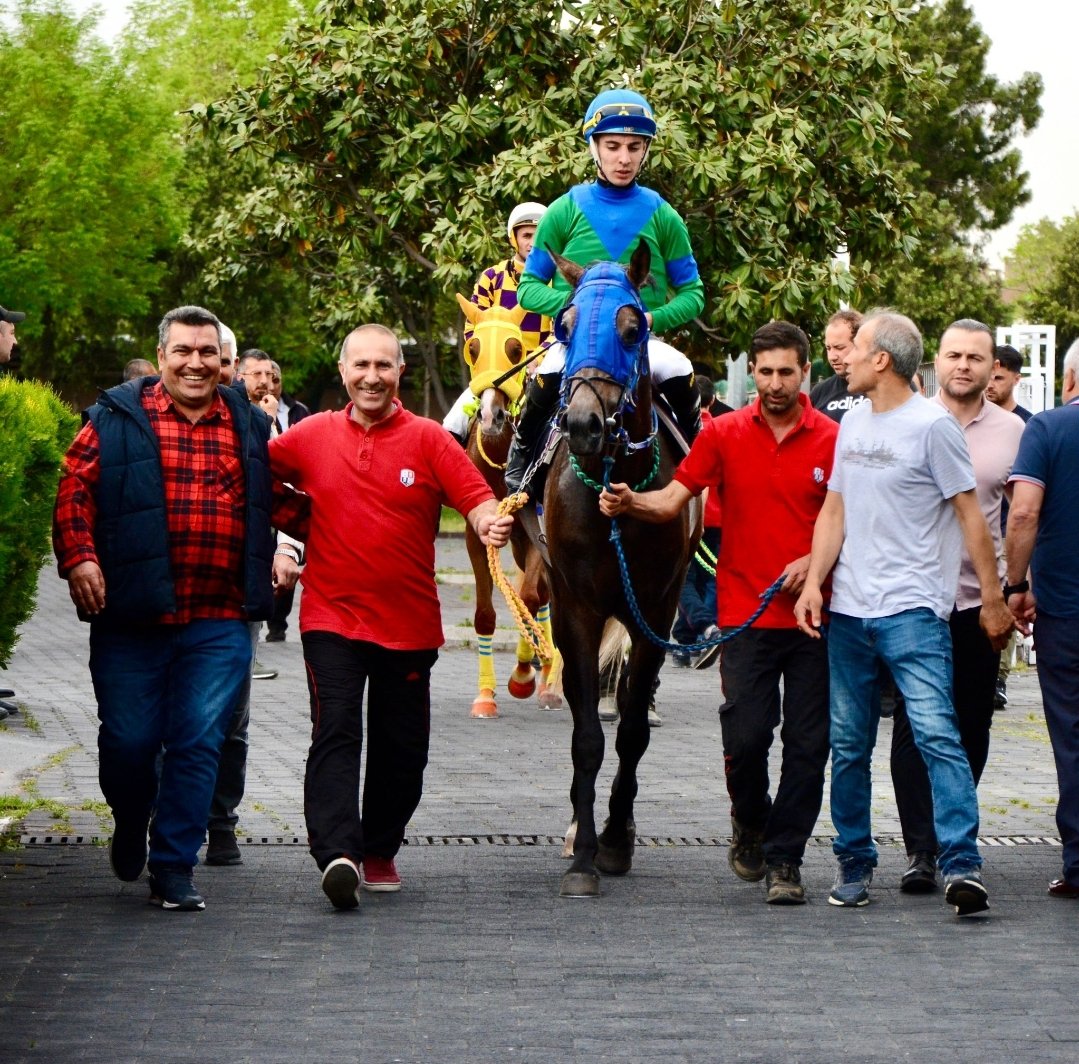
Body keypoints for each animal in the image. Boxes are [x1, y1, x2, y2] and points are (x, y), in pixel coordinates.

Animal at [453, 293, 561, 716]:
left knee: (542, 597)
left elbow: (529, 598)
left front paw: (523, 675)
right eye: (473, 347)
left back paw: (547, 680)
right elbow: (485, 615)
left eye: (516, 349)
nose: (490, 415)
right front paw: (486, 696)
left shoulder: (537, 531)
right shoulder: (476, 533)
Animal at [520, 242, 703, 897]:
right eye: (566, 325)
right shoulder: (577, 605)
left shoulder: (657, 609)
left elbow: (631, 730)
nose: (582, 425)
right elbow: (586, 734)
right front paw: (583, 856)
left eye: (631, 328)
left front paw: (617, 840)